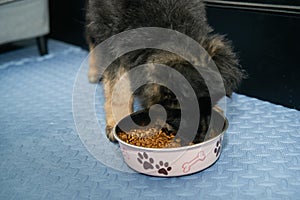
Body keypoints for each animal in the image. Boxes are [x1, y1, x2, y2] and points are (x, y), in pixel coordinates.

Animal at [85, 0, 245, 144]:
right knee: (90, 31)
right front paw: (118, 119)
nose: (199, 138)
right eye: (181, 111)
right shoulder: (111, 36)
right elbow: (119, 86)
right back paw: (93, 69)